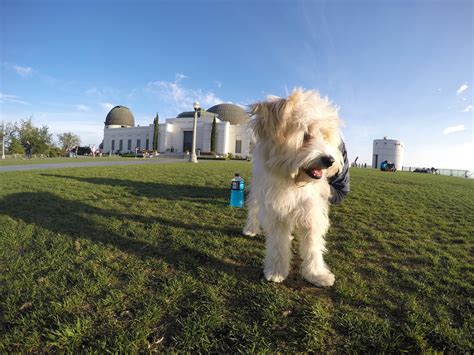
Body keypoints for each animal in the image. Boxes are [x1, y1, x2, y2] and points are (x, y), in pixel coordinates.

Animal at [244, 89, 344, 286]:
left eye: (325, 136)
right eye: (305, 135)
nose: (329, 160)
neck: (293, 183)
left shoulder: (311, 211)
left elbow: (313, 246)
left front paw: (316, 274)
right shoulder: (275, 211)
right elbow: (277, 244)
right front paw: (276, 271)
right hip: (258, 193)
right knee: (253, 208)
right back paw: (250, 228)